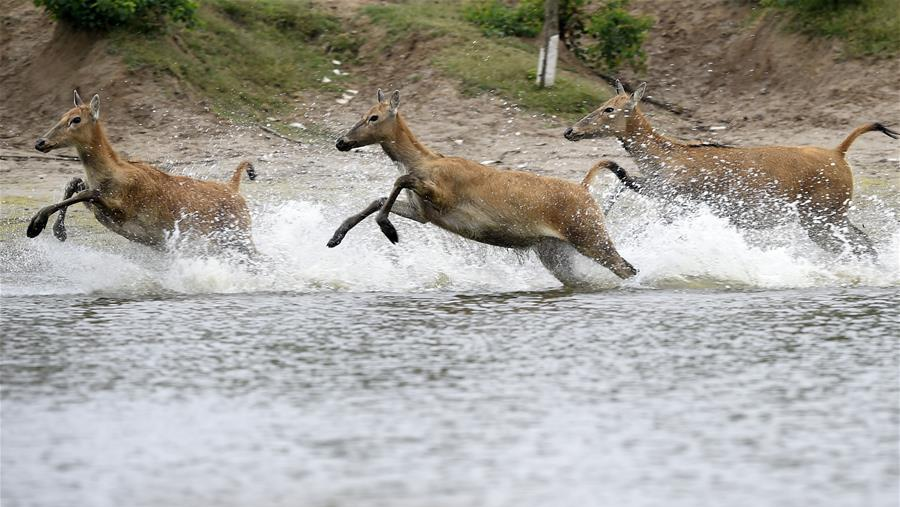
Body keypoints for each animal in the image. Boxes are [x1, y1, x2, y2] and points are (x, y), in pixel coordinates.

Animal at [28, 91, 257, 254]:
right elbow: (75, 182)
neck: (112, 173)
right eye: (61, 116)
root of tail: (234, 187)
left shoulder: (124, 210)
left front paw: (36, 226)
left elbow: (87, 192)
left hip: (239, 234)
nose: (40, 142)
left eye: (76, 119)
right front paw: (57, 231)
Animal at [326, 89, 637, 286]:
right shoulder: (423, 212)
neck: (423, 162)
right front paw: (335, 237)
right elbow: (380, 197)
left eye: (374, 117)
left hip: (589, 235)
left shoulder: (443, 196)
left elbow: (398, 181)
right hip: (555, 250)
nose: (341, 142)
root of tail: (585, 190)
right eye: (363, 113)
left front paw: (389, 231)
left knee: (627, 268)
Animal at [564, 80, 898, 258]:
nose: (570, 130)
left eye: (609, 108)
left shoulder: (676, 205)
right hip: (828, 218)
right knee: (862, 242)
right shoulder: (661, 192)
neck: (664, 155)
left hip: (822, 217)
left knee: (859, 244)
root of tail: (840, 152)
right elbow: (620, 177)